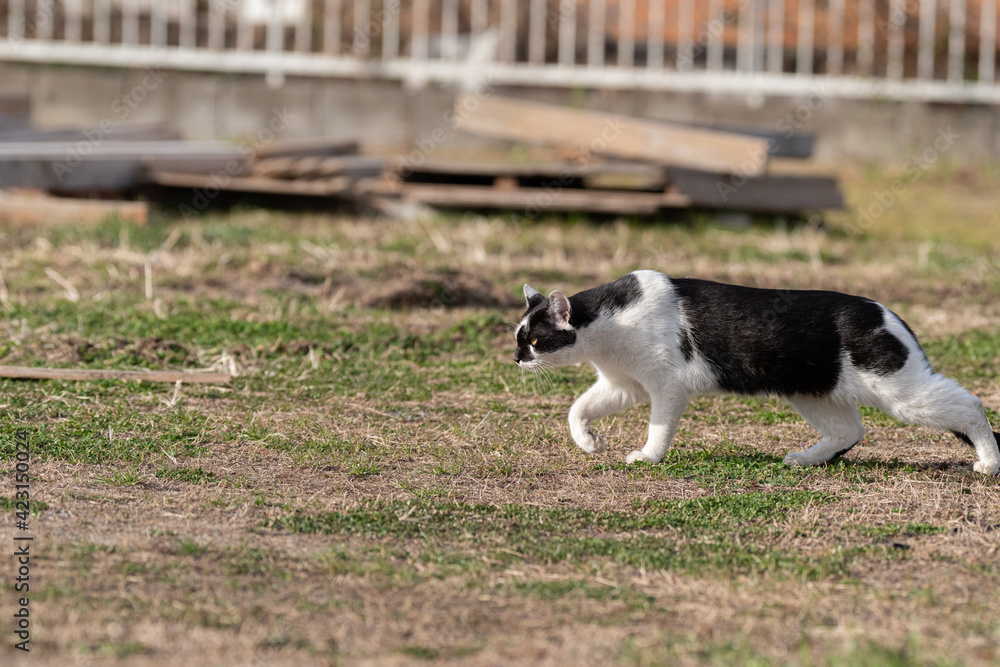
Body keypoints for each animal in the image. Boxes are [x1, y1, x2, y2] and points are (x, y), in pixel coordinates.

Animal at [516, 268, 1000, 478]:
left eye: (535, 341)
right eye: (518, 338)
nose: (517, 359)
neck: (609, 322)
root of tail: (888, 313)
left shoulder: (667, 387)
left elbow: (658, 428)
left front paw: (649, 457)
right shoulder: (625, 385)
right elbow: (577, 410)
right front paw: (589, 442)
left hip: (901, 392)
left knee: (972, 406)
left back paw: (988, 463)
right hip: (813, 393)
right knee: (850, 431)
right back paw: (805, 459)